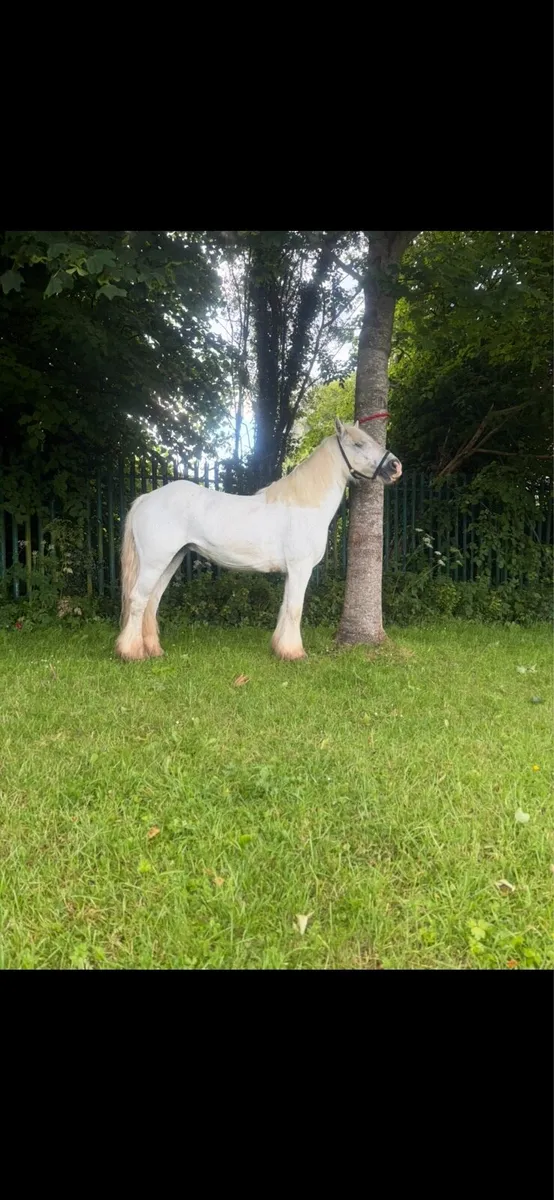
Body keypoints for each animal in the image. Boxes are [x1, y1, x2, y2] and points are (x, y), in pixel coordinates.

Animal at [115, 417, 402, 663]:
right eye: (358, 444)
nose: (395, 466)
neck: (305, 505)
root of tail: (147, 498)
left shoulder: (291, 572)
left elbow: (285, 607)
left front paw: (280, 649)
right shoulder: (300, 568)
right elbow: (295, 608)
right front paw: (295, 653)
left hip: (172, 559)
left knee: (152, 600)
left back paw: (153, 650)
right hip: (155, 561)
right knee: (138, 599)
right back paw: (131, 653)